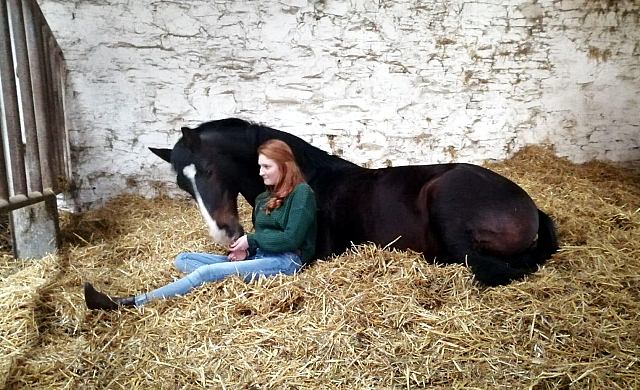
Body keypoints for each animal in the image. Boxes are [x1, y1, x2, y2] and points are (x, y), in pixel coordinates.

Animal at [149, 117, 556, 284]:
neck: (307, 178)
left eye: (209, 171)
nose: (223, 232)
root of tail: (530, 207)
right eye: (183, 184)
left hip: (447, 204)